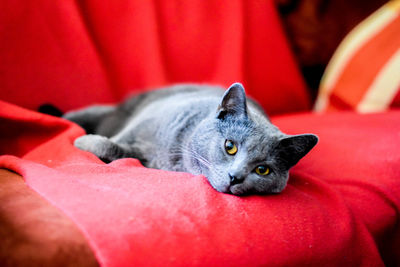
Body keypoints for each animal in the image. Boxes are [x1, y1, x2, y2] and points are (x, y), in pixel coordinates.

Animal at [63, 82, 318, 196]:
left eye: (263, 170)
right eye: (230, 147)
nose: (235, 177)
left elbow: (118, 149)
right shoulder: (142, 121)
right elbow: (113, 141)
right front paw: (82, 142)